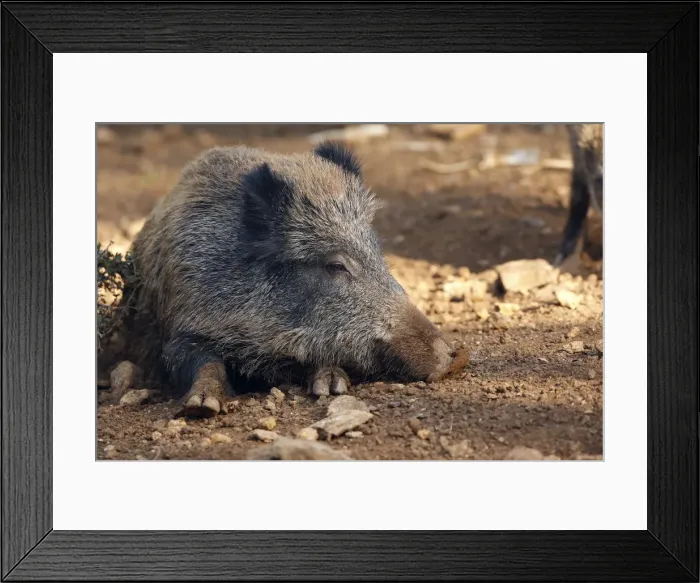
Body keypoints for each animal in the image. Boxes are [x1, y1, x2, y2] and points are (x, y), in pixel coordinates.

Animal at [122, 141, 455, 417]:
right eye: (336, 265)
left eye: (377, 252)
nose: (452, 357)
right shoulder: (181, 324)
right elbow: (201, 361)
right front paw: (202, 406)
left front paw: (332, 387)